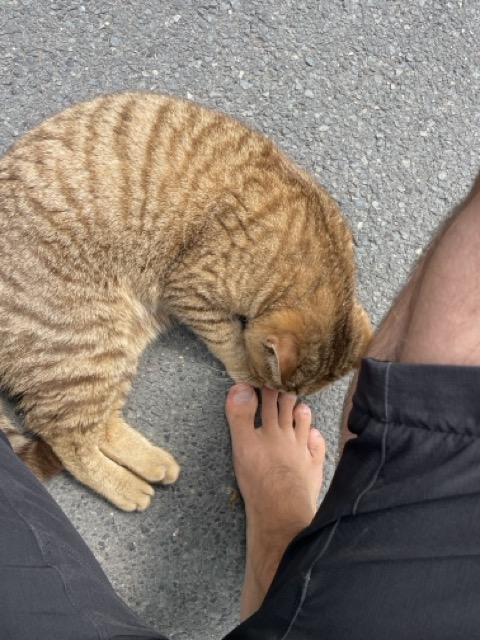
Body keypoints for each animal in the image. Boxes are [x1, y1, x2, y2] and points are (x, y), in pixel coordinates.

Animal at [0, 91, 372, 510]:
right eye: (270, 384)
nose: (272, 395)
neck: (319, 260)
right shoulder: (190, 287)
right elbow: (228, 338)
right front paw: (244, 369)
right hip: (84, 344)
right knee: (67, 439)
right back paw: (126, 486)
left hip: (109, 350)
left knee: (97, 425)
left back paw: (152, 463)